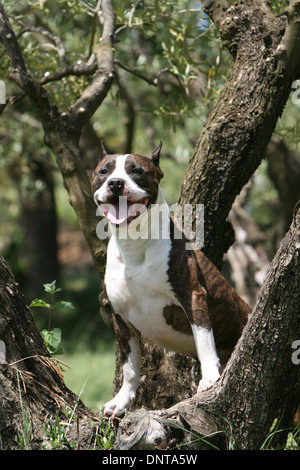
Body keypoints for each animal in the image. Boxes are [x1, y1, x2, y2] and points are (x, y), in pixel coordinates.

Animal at [92, 141, 251, 416]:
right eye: (104, 171)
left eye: (136, 170)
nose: (116, 183)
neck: (133, 244)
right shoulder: (121, 318)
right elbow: (130, 366)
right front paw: (121, 400)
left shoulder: (193, 296)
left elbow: (204, 340)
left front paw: (209, 378)